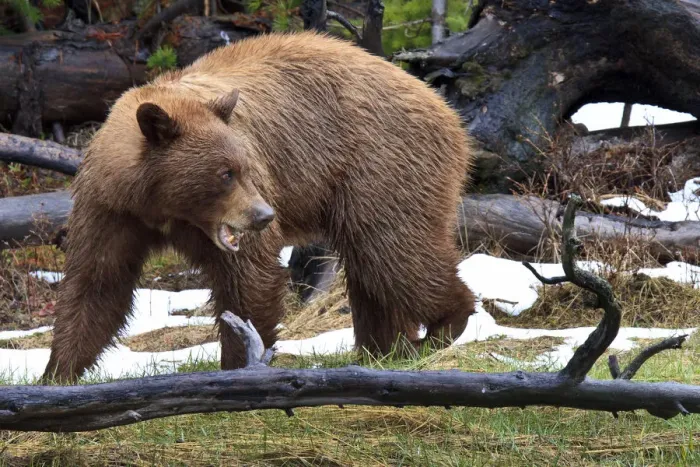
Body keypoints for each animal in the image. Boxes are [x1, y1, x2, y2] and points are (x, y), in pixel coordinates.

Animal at [41, 31, 477, 383]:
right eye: (225, 173)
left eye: (243, 167)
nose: (264, 216)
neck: (160, 205)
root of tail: (447, 111)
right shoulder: (110, 210)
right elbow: (98, 283)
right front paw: (56, 374)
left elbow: (249, 281)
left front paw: (238, 365)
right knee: (374, 267)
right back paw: (384, 348)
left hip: (382, 166)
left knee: (394, 252)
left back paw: (442, 327)